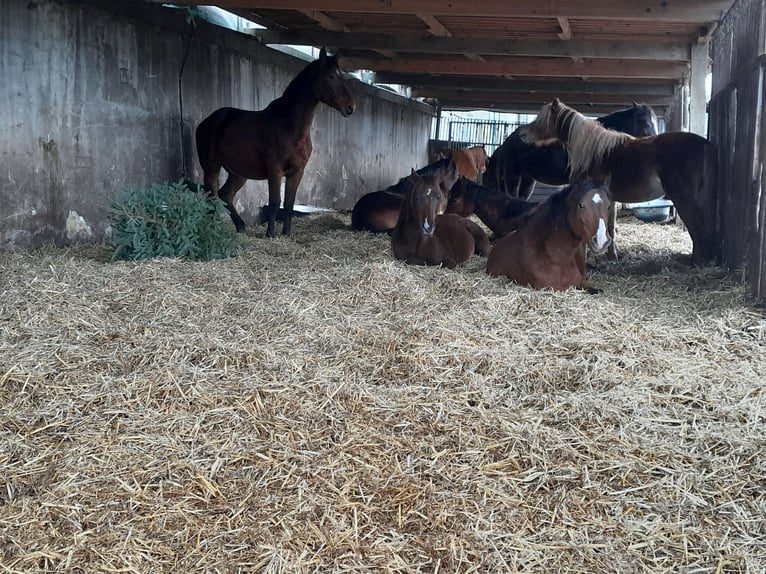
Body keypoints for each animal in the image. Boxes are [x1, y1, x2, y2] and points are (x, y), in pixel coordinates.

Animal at [195, 48, 356, 237]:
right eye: (331, 76)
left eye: (341, 76)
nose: (351, 107)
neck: (290, 128)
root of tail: (207, 121)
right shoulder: (275, 171)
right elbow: (274, 202)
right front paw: (270, 234)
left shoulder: (297, 172)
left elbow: (288, 204)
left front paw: (287, 233)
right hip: (211, 168)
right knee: (211, 197)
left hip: (238, 173)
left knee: (225, 194)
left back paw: (240, 226)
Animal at [516, 98, 718, 265]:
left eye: (542, 119)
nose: (522, 134)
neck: (594, 151)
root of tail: (704, 144)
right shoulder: (609, 198)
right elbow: (610, 226)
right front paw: (611, 255)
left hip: (684, 199)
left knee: (697, 227)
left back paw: (696, 263)